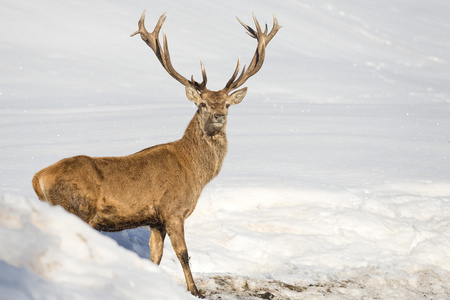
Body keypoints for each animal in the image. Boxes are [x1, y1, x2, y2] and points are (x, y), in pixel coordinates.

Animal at [33, 10, 282, 296]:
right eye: (203, 104)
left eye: (227, 104)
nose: (219, 115)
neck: (195, 173)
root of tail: (37, 179)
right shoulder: (173, 210)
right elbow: (183, 253)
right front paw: (195, 291)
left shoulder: (155, 220)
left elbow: (156, 256)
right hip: (74, 208)